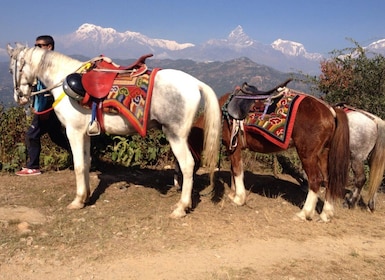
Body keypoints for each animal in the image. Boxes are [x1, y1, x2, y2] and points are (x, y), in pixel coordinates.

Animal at [7, 43, 220, 219]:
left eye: (11, 69)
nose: (19, 98)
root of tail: (195, 83)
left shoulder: (73, 132)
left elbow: (78, 165)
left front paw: (77, 201)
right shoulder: (84, 134)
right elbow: (86, 163)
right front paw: (86, 196)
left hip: (175, 135)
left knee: (187, 165)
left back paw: (181, 207)